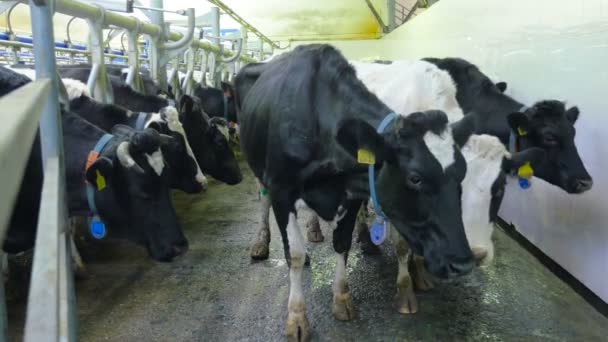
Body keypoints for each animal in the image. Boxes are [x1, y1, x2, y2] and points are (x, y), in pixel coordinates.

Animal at [235, 44, 478, 340]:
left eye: (462, 172)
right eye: (415, 178)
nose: (463, 264)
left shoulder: (349, 194)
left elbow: (342, 243)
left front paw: (341, 299)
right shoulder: (283, 190)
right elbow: (294, 255)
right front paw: (296, 317)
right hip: (258, 166)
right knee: (264, 202)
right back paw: (261, 242)